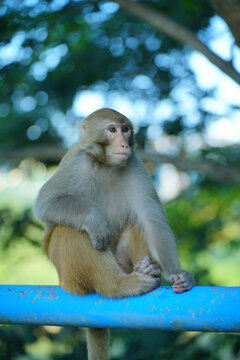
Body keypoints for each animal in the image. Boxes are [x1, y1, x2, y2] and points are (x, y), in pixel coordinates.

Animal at [34, 108, 195, 360]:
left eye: (126, 129)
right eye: (112, 130)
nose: (123, 144)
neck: (106, 165)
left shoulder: (135, 166)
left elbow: (152, 223)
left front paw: (178, 274)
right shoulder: (76, 161)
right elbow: (46, 202)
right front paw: (95, 218)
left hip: (119, 262)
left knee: (135, 225)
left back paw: (147, 268)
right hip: (69, 278)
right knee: (71, 230)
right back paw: (119, 286)